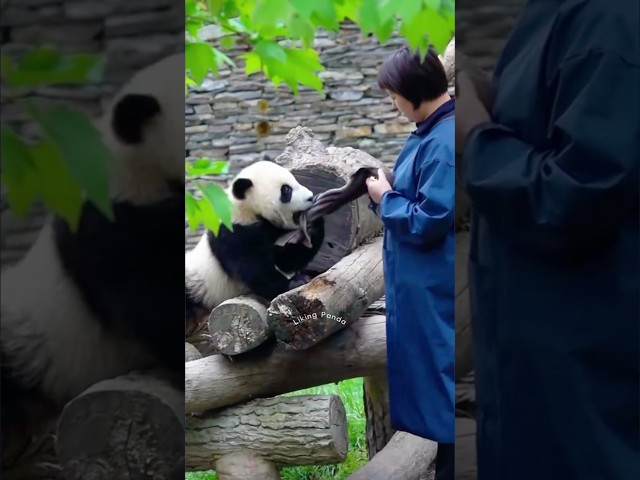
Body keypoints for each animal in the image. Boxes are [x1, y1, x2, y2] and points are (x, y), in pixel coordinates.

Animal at [185, 160, 325, 325]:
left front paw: (313, 225)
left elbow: (285, 260)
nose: (310, 197)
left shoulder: (271, 229)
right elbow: (253, 268)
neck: (247, 209)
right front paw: (295, 282)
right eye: (286, 190)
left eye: (295, 180)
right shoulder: (232, 233)